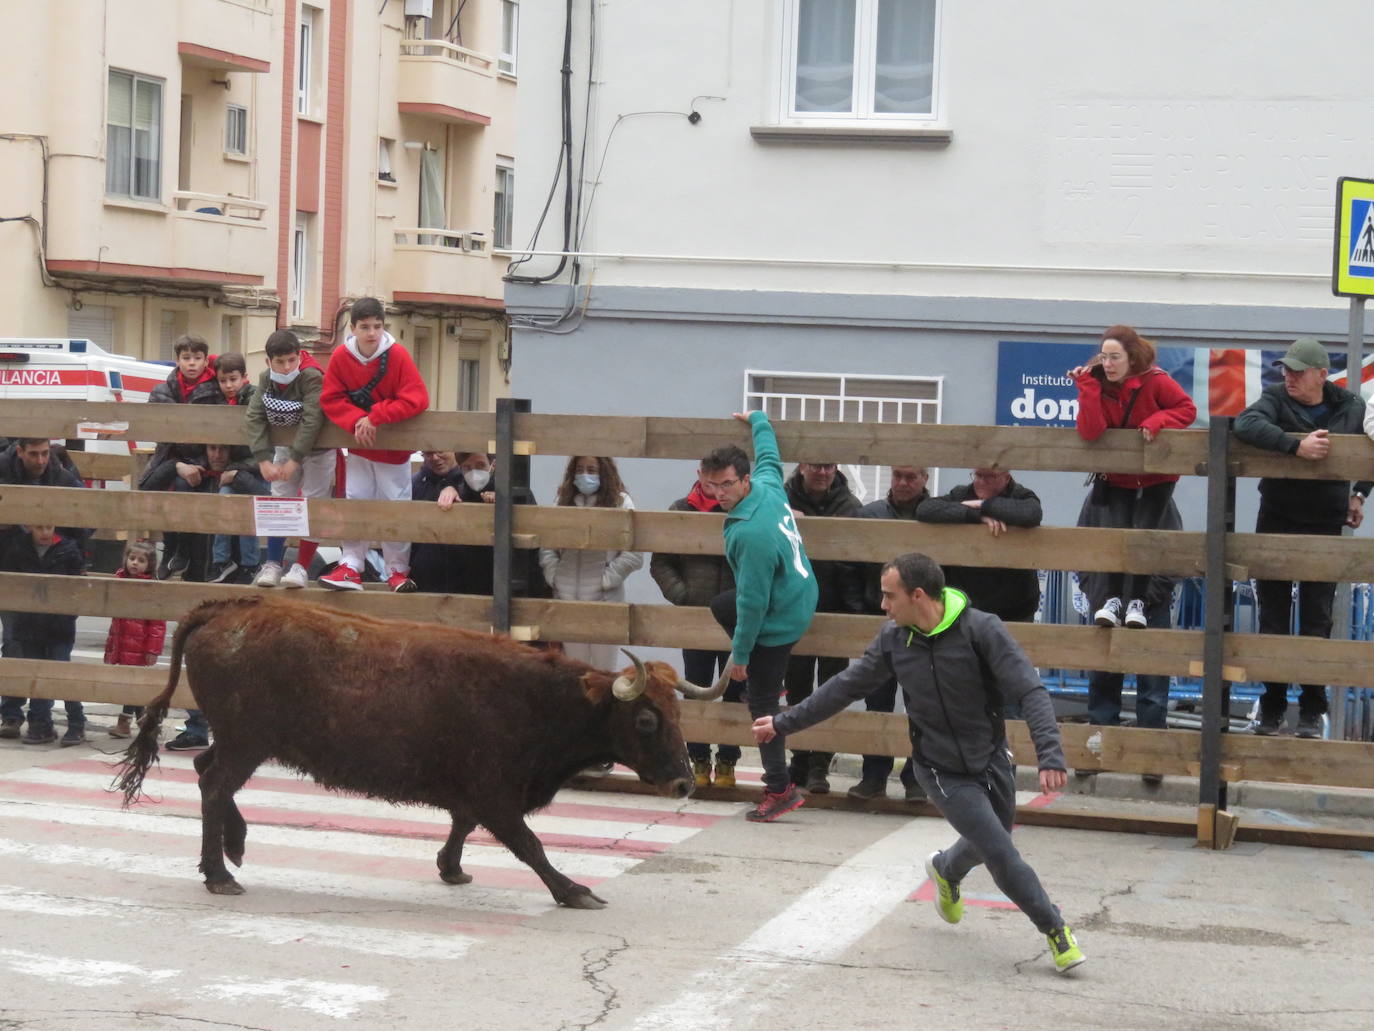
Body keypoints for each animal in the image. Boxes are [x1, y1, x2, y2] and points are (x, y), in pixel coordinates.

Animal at [115, 596, 730, 912]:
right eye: (646, 720)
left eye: (677, 715)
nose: (683, 783)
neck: (542, 698)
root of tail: (229, 608)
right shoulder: (497, 794)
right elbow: (527, 844)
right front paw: (573, 890)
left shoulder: (476, 791)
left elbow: (463, 824)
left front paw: (451, 869)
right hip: (246, 742)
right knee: (215, 784)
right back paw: (220, 872)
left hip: (240, 741)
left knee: (206, 774)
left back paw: (234, 849)